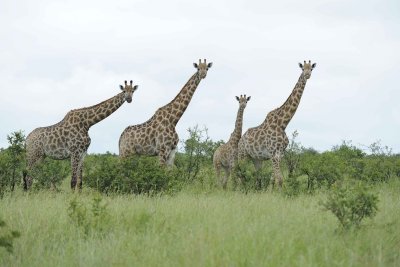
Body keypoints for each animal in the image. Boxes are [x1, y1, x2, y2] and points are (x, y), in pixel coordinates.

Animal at [238, 60, 316, 188]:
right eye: (302, 68)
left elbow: (273, 179)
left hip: (256, 158)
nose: (307, 74)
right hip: (243, 154)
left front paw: (268, 192)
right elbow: (279, 180)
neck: (283, 123)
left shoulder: (279, 155)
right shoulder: (274, 154)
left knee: (257, 175)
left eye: (311, 69)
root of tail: (240, 139)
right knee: (239, 173)